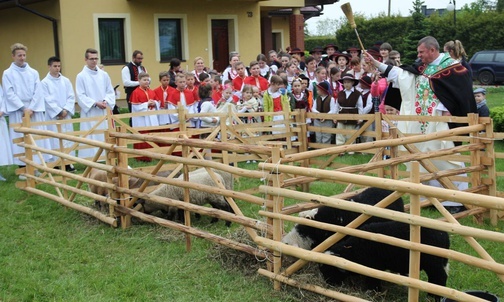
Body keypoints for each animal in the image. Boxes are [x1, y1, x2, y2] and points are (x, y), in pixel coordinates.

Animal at [318, 219, 448, 302]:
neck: (353, 249)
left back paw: (434, 297)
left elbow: (373, 280)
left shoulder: (373, 266)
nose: (328, 284)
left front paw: (372, 292)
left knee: (439, 277)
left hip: (432, 262)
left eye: (329, 270)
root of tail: (444, 235)